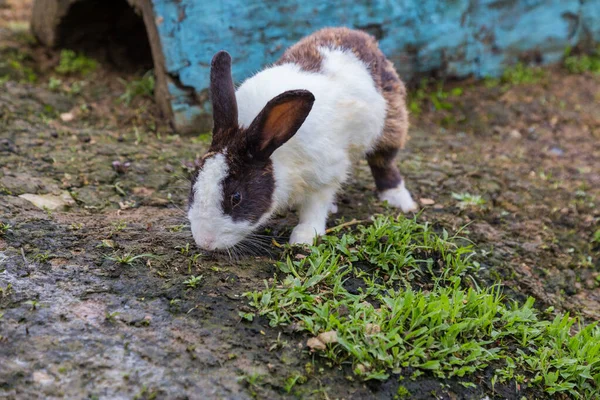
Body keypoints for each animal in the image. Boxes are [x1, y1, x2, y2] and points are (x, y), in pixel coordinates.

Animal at [189, 27, 418, 250]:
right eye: (194, 184)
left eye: (236, 197)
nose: (204, 242)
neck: (276, 154)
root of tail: (361, 36)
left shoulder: (326, 174)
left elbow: (314, 208)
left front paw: (304, 238)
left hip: (391, 123)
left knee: (384, 162)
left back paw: (399, 200)